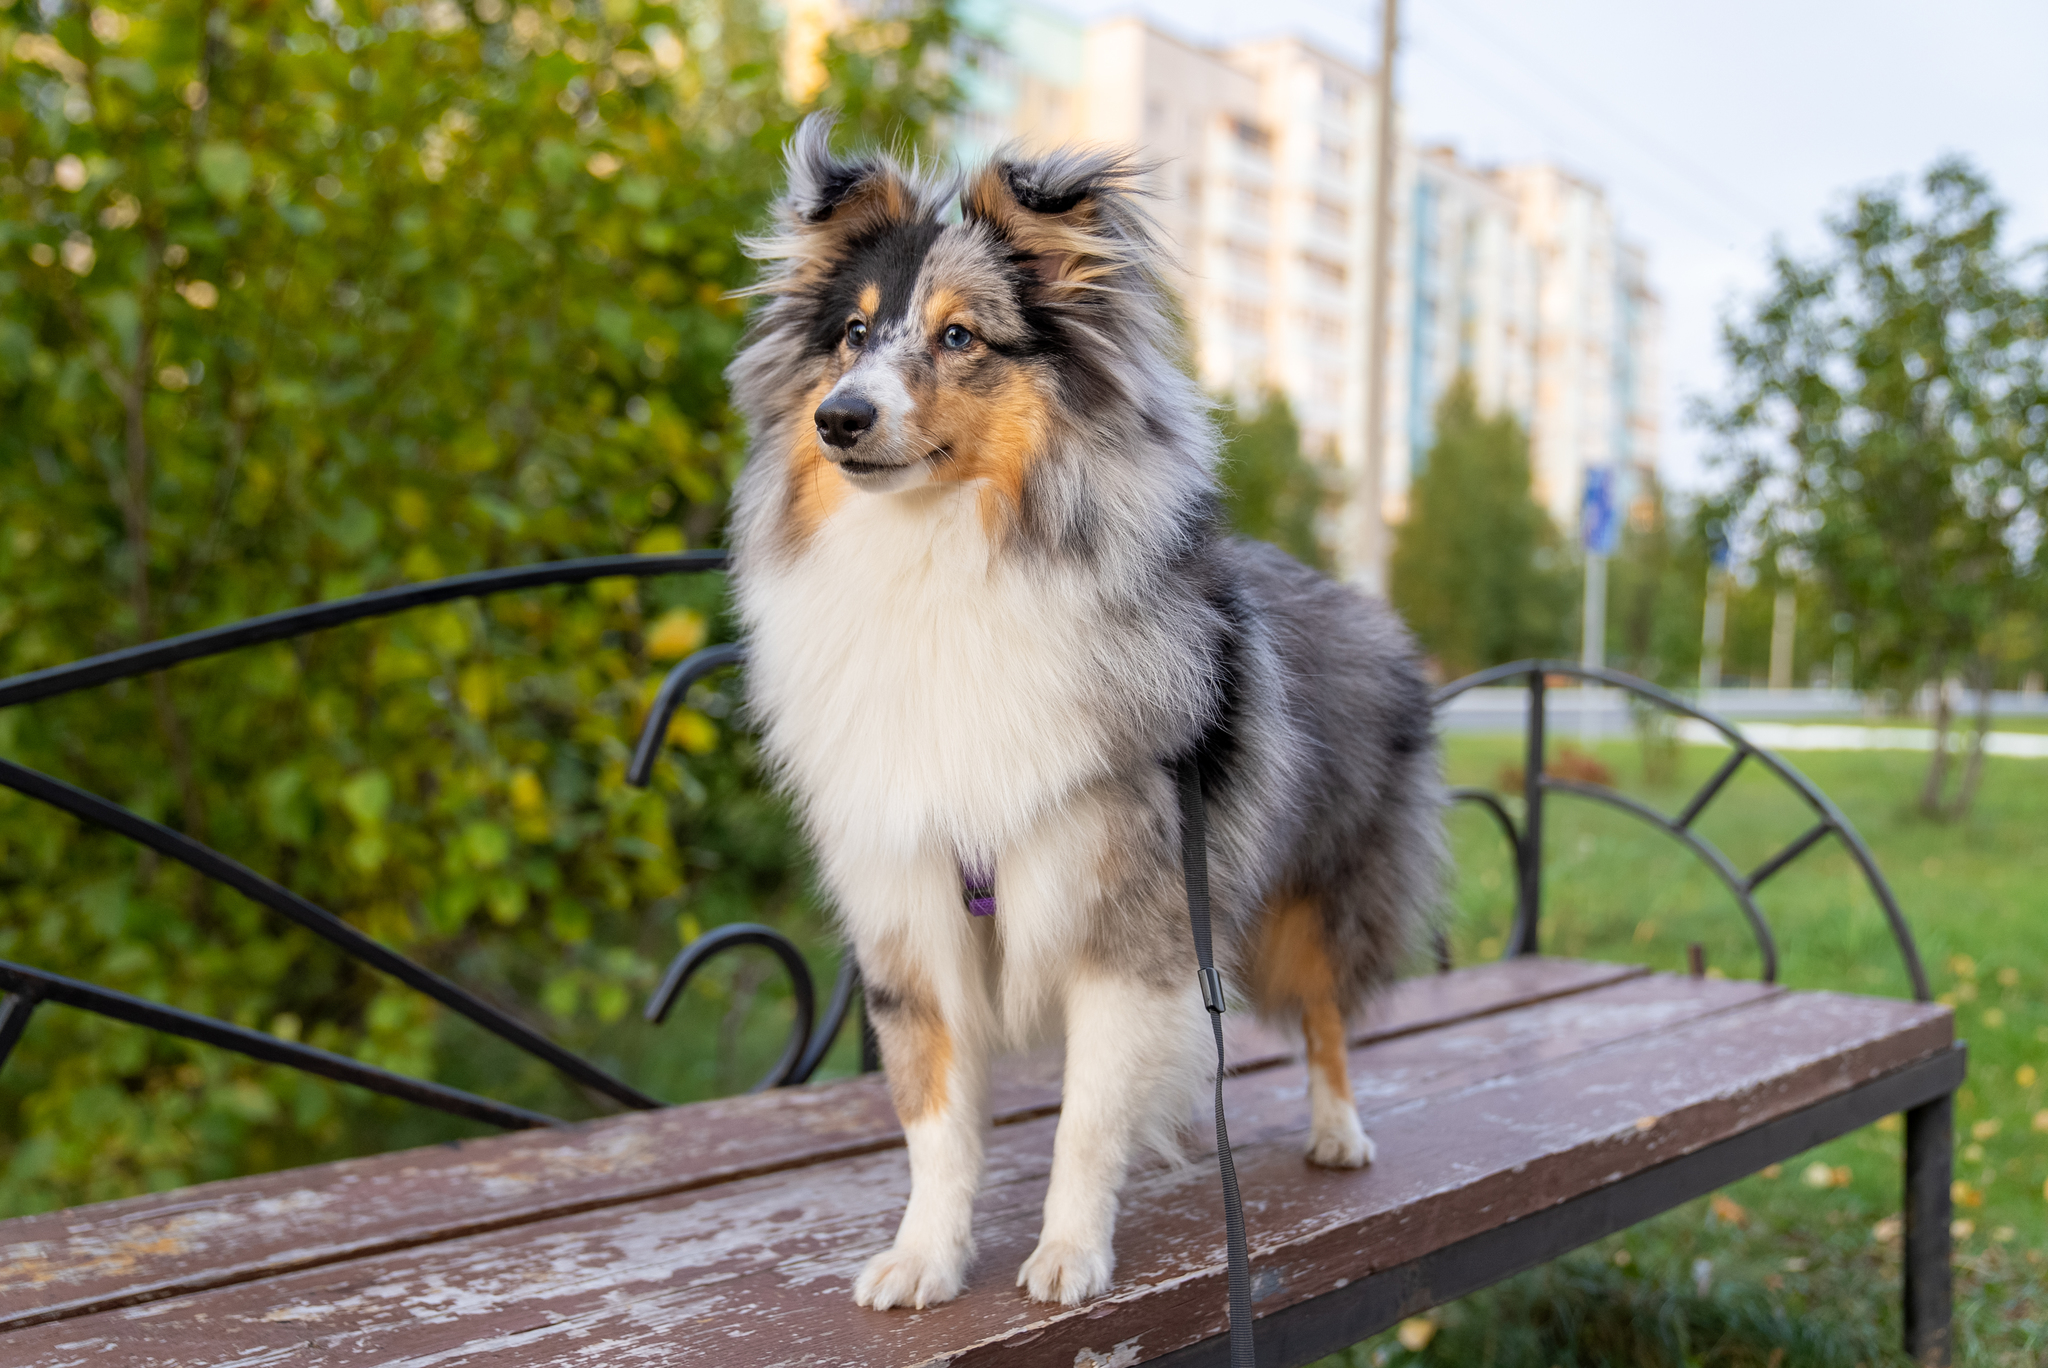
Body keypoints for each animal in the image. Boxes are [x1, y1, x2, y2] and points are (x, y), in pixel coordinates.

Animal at [729, 117, 1449, 1310]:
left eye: (960, 336)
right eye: (852, 335)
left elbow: (1086, 1117)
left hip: (1314, 891)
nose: (840, 419)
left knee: (1324, 1015)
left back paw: (1337, 1133)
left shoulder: (1125, 920)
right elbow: (935, 1120)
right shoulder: (910, 914)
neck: (937, 568)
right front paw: (924, 1257)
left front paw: (1069, 1254)